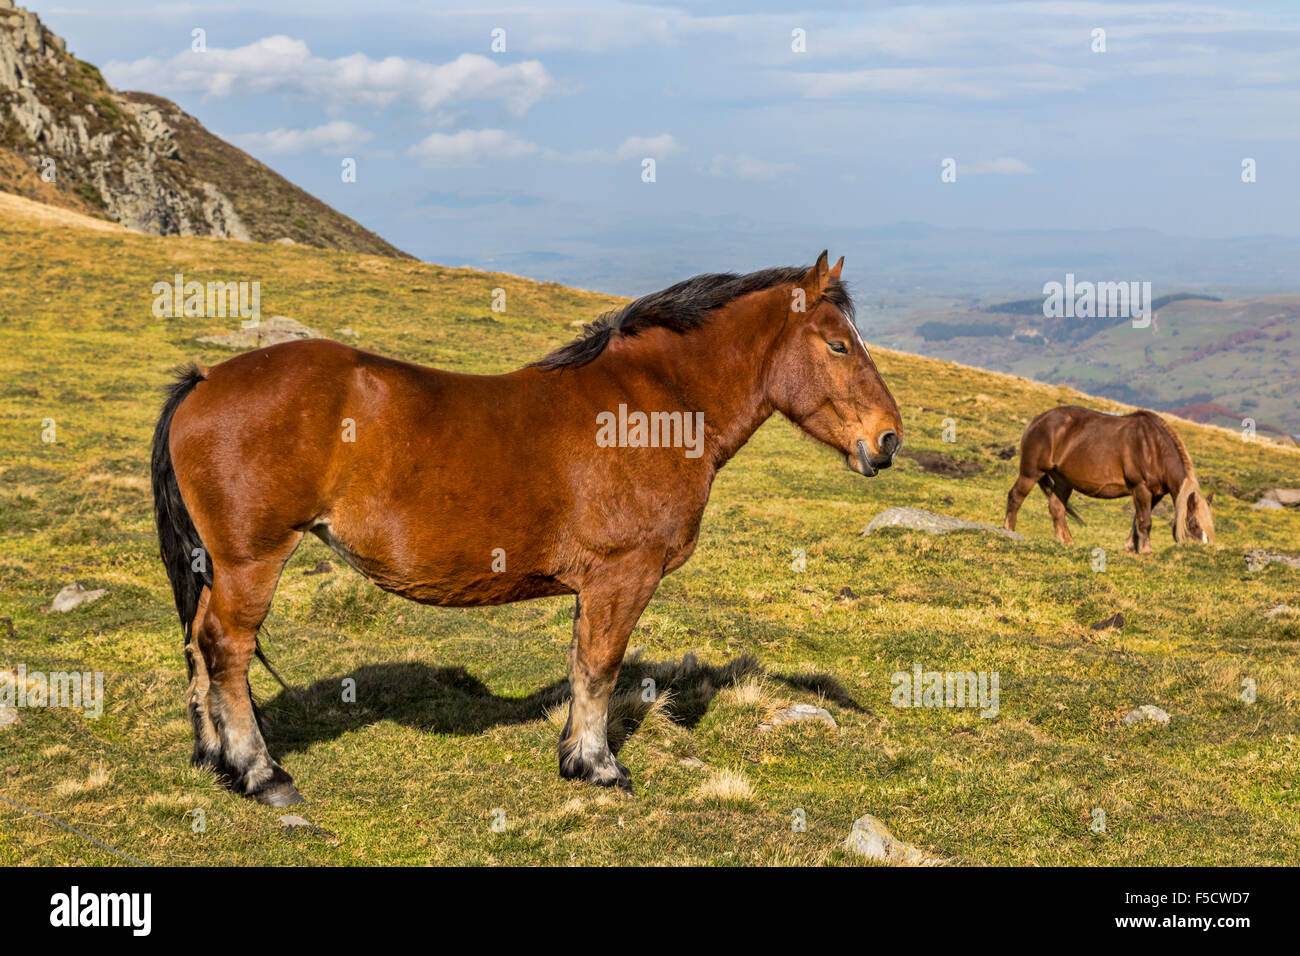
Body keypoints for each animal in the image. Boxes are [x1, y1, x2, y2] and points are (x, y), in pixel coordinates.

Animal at [149, 251, 904, 806]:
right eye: (838, 345)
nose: (888, 439)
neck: (652, 406)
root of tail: (205, 381)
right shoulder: (622, 575)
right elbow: (599, 668)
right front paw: (598, 767)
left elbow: (583, 664)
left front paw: (576, 755)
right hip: (252, 560)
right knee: (226, 649)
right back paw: (259, 772)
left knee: (198, 645)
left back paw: (215, 758)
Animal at [1003, 405, 1206, 554]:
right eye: (1193, 523)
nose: (1200, 550)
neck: (1153, 447)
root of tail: (1037, 420)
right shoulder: (1140, 488)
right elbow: (1145, 521)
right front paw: (1146, 551)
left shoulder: (1154, 494)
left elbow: (1138, 520)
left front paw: (1131, 548)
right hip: (1031, 473)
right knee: (1015, 497)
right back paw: (1009, 532)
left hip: (1063, 481)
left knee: (1056, 507)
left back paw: (1066, 541)